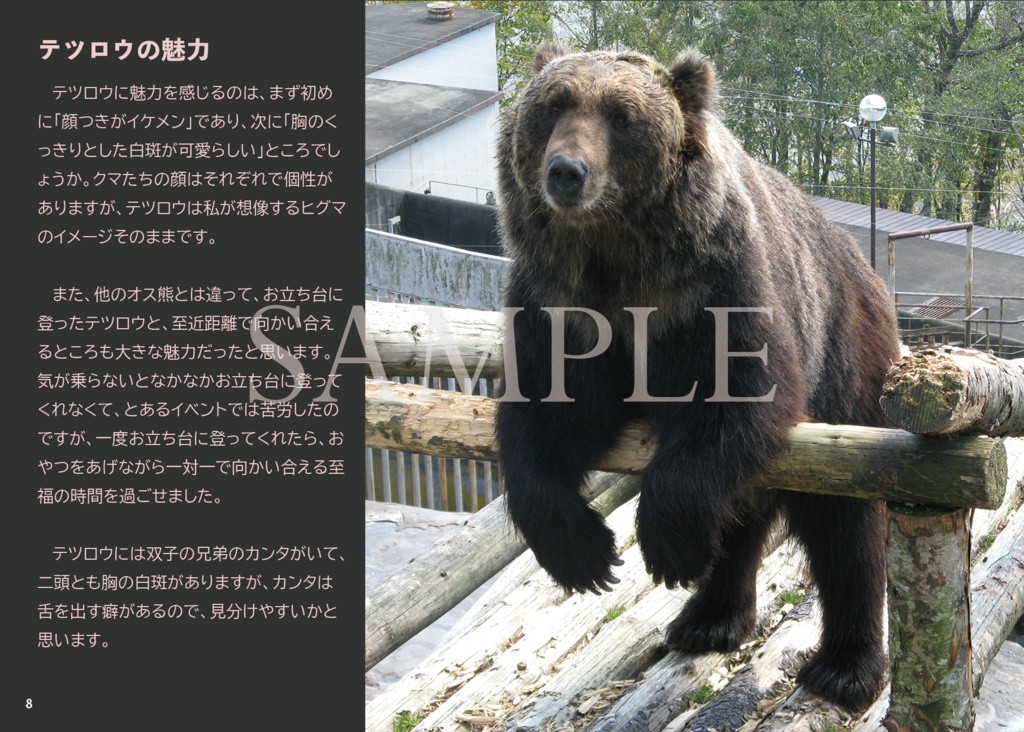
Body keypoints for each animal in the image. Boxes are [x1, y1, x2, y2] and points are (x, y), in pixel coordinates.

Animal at [492, 44, 901, 711]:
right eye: (553, 105)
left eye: (622, 115)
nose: (566, 172)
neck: (617, 254)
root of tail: (867, 272)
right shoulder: (558, 303)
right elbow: (541, 416)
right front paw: (585, 555)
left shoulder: (712, 285)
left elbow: (736, 398)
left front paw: (665, 548)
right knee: (743, 516)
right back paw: (708, 618)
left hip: (845, 363)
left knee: (846, 525)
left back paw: (846, 665)